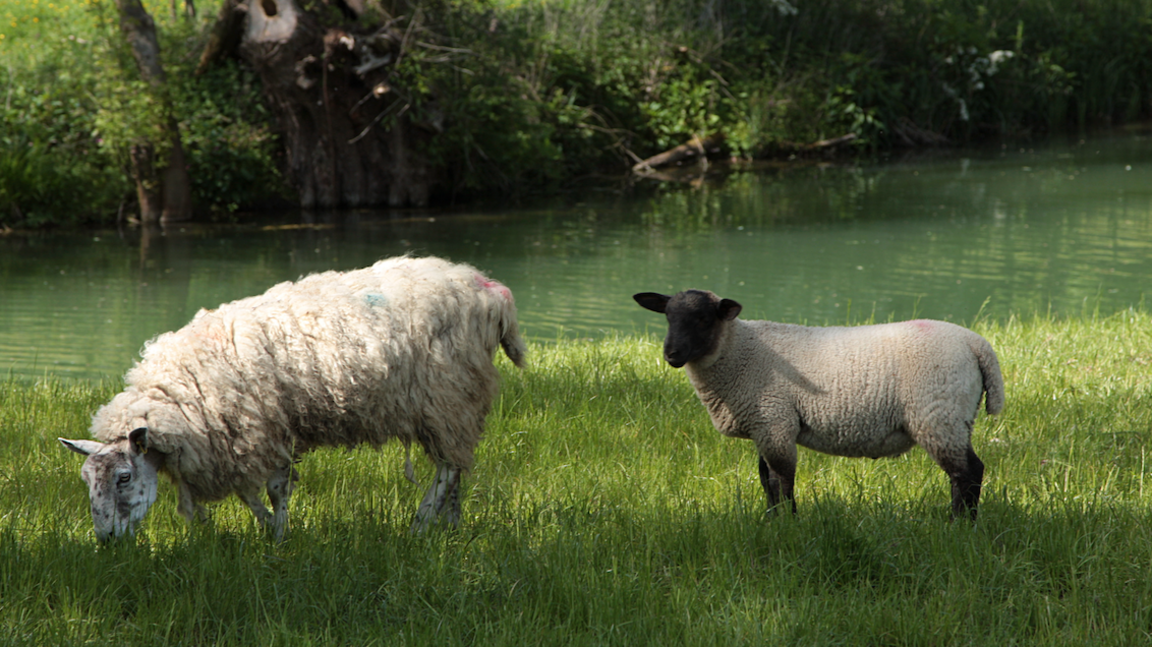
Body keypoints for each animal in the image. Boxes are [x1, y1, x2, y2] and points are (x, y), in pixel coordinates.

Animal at [59, 253, 527, 538]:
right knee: (457, 467)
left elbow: (273, 490)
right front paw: (268, 529)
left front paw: (279, 535)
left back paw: (421, 523)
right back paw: (451, 525)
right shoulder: (245, 436)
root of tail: (489, 288)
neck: (182, 395)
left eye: (123, 478)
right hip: (456, 401)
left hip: (447, 394)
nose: (106, 541)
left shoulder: (266, 427)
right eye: (87, 481)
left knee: (448, 469)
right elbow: (250, 494)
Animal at [635, 287, 1004, 518]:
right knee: (966, 473)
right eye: (667, 317)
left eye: (703, 319)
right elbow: (765, 479)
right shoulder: (763, 423)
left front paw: (789, 523)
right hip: (953, 417)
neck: (739, 350)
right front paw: (770, 521)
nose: (671, 354)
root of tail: (977, 345)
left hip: (939, 414)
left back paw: (960, 524)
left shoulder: (775, 420)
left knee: (967, 473)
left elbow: (781, 479)